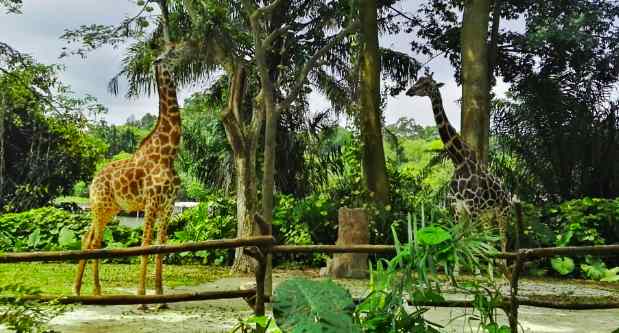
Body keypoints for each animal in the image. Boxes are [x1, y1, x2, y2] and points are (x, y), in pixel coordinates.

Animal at [75, 51, 182, 304]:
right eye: (171, 53)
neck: (168, 153)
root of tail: (92, 182)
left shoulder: (169, 204)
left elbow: (162, 245)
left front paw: (161, 296)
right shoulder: (152, 202)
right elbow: (145, 244)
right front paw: (142, 297)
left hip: (107, 208)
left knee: (87, 239)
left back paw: (77, 289)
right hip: (101, 206)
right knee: (96, 242)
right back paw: (96, 290)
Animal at [404, 74, 512, 252]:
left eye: (426, 83)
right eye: (418, 80)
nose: (409, 91)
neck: (459, 161)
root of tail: (508, 192)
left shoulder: (472, 207)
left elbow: (470, 243)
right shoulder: (456, 207)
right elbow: (458, 240)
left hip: (503, 211)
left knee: (503, 241)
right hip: (487, 214)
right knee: (489, 240)